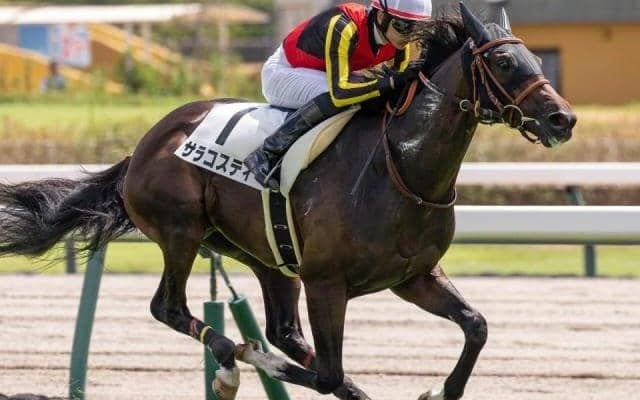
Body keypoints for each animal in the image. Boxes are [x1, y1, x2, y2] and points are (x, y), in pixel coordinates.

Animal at [0, 4, 575, 400]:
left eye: (534, 57)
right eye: (504, 60)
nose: (562, 119)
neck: (399, 168)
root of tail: (143, 146)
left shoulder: (413, 276)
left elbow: (475, 325)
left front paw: (442, 389)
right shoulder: (327, 283)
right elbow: (327, 373)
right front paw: (253, 358)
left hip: (265, 255)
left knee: (285, 331)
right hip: (182, 230)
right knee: (172, 308)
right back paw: (231, 361)